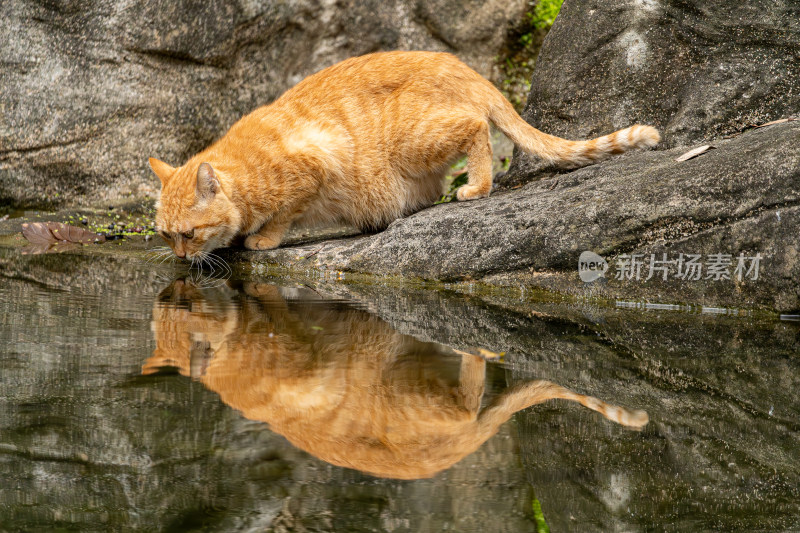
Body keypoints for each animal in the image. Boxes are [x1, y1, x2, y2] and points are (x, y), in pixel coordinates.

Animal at [147, 50, 660, 258]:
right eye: (165, 236)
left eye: (188, 234)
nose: (181, 258)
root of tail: (464, 67)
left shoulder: (315, 165)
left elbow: (282, 215)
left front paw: (262, 238)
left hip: (415, 139)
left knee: (478, 131)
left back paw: (476, 187)